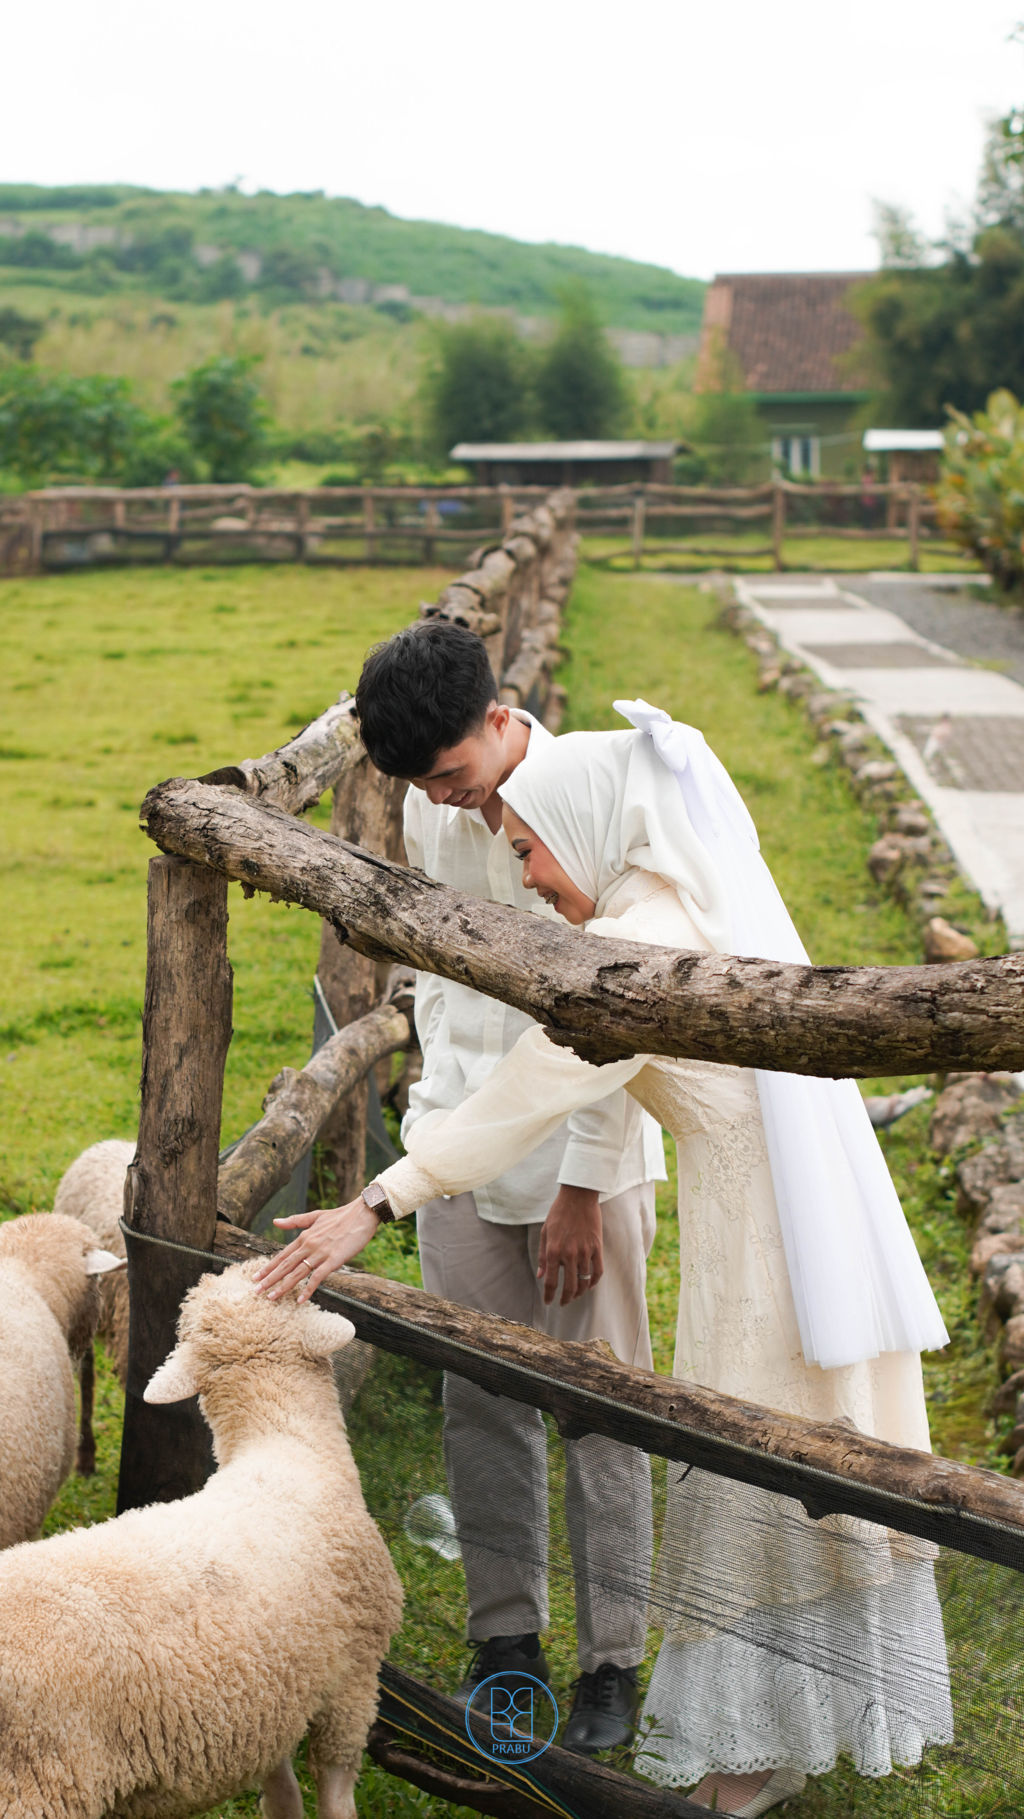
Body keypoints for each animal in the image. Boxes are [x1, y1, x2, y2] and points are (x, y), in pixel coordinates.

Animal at [0, 1258, 404, 1819]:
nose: (253, 1265)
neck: (285, 1444)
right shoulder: (354, 1680)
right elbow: (335, 1794)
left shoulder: (272, 1695)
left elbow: (282, 1790)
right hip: (37, 1785)